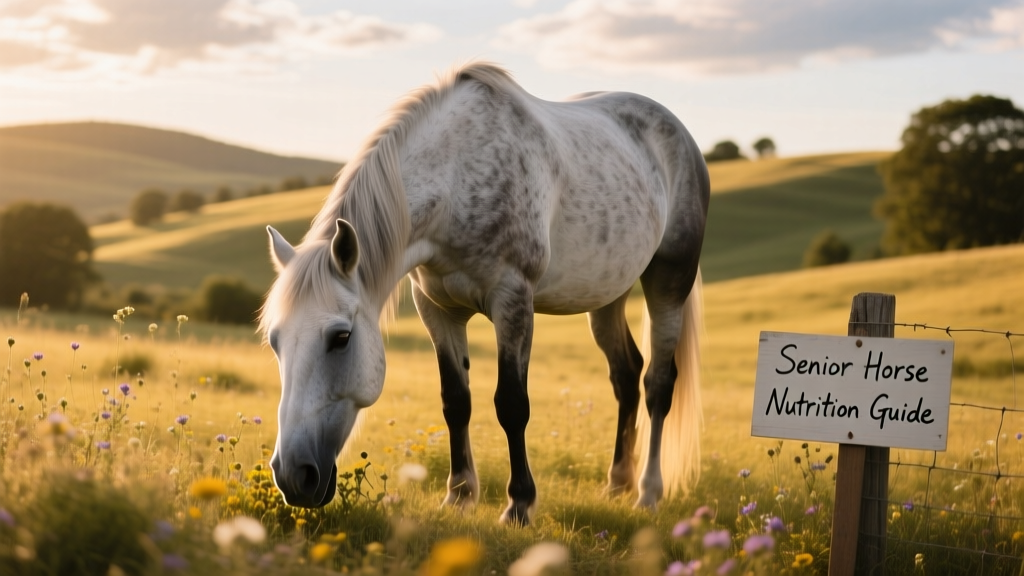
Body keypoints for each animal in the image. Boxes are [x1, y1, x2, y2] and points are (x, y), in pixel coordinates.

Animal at [259, 62, 709, 525]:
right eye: (275, 342)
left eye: (341, 338)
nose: (293, 476)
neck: (456, 179)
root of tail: (679, 134)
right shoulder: (436, 309)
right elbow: (455, 401)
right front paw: (459, 495)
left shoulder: (512, 301)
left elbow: (511, 404)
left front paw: (519, 504)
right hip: (605, 295)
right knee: (626, 375)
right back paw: (617, 483)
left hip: (668, 282)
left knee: (658, 383)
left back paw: (648, 492)